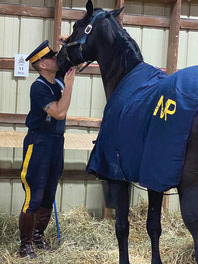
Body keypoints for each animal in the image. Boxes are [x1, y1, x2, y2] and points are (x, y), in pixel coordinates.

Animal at [56, 1, 198, 262]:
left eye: (78, 25)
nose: (59, 58)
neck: (125, 77)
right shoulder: (153, 178)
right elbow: (153, 226)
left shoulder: (116, 176)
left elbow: (122, 227)